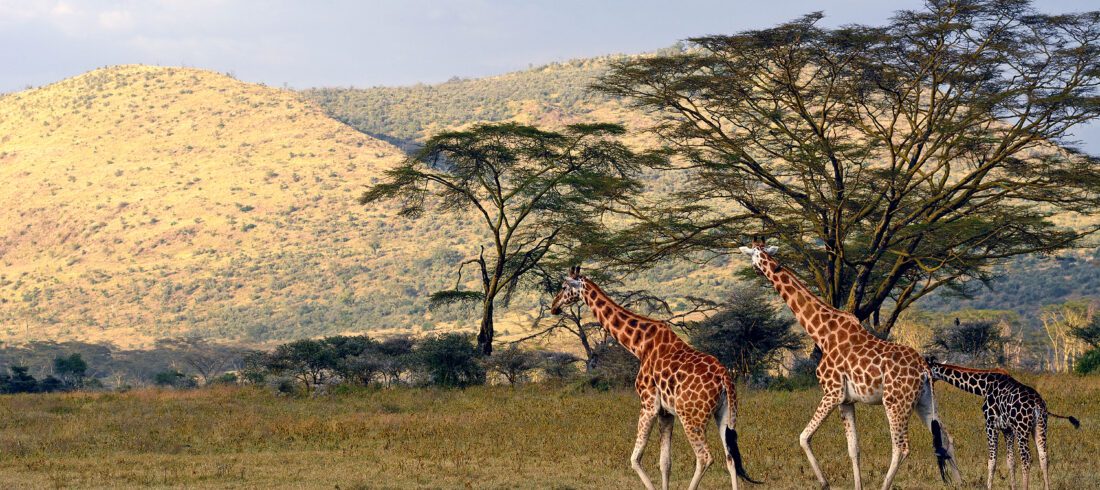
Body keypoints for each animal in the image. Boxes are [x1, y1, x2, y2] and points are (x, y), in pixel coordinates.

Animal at [550, 265, 759, 490]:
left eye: (564, 287)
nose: (554, 306)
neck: (639, 345)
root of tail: (724, 378)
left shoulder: (648, 403)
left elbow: (635, 459)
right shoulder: (666, 412)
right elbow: (665, 462)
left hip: (691, 416)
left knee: (705, 457)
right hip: (724, 415)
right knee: (730, 459)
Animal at [738, 241, 961, 489]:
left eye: (753, 256)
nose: (756, 270)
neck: (822, 333)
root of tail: (924, 369)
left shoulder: (832, 393)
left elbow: (804, 437)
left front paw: (824, 482)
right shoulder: (846, 400)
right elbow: (853, 448)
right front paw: (857, 485)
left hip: (895, 402)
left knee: (901, 448)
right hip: (924, 400)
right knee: (947, 437)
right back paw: (961, 483)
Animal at [928, 359, 1080, 490]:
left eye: (928, 371)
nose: (929, 386)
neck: (984, 386)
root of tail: (1038, 405)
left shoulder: (991, 425)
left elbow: (992, 462)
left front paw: (989, 487)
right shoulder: (1007, 429)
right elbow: (1010, 461)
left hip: (1022, 430)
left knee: (1026, 458)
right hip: (1040, 427)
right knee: (1043, 456)